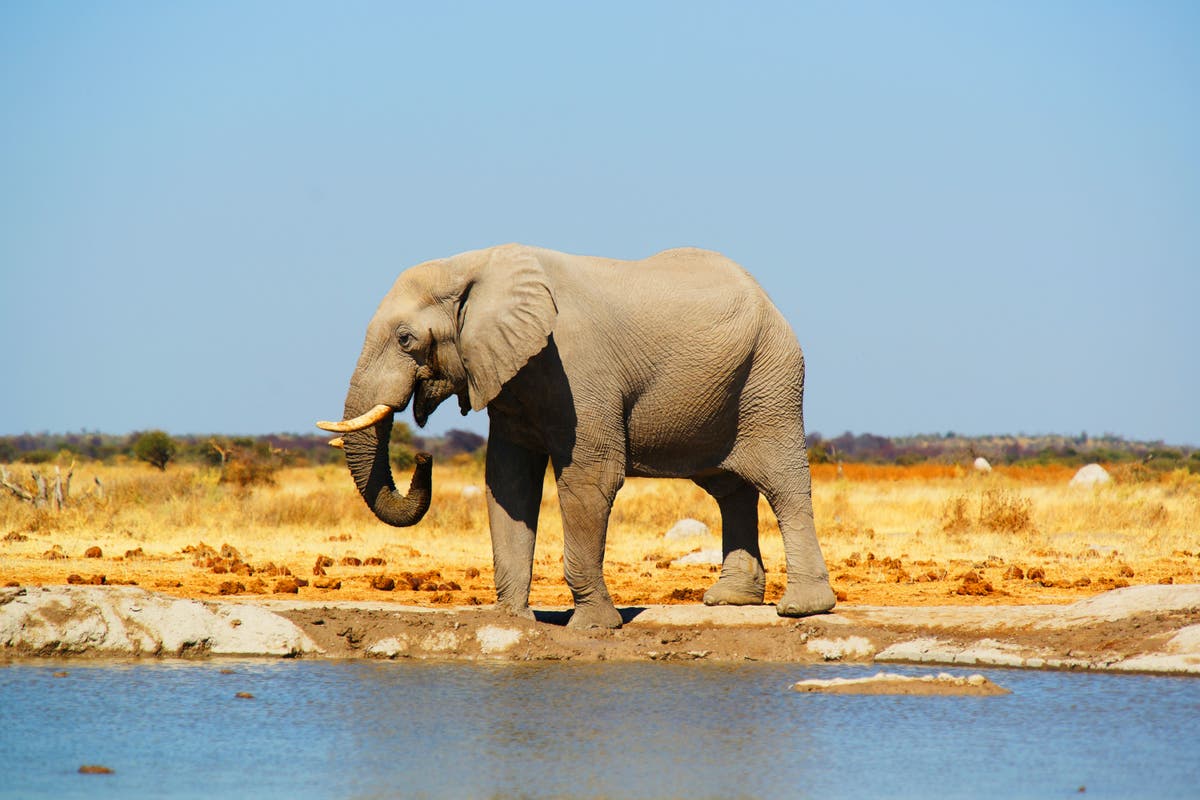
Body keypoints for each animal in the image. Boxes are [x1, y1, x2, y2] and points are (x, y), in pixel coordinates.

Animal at [318, 244, 836, 628]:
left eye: (405, 339)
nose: (424, 458)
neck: (473, 266)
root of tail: (768, 298)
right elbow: (508, 482)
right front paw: (513, 620)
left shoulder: (577, 368)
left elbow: (589, 480)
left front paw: (594, 627)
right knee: (730, 490)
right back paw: (729, 600)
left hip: (771, 380)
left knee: (784, 484)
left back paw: (802, 609)